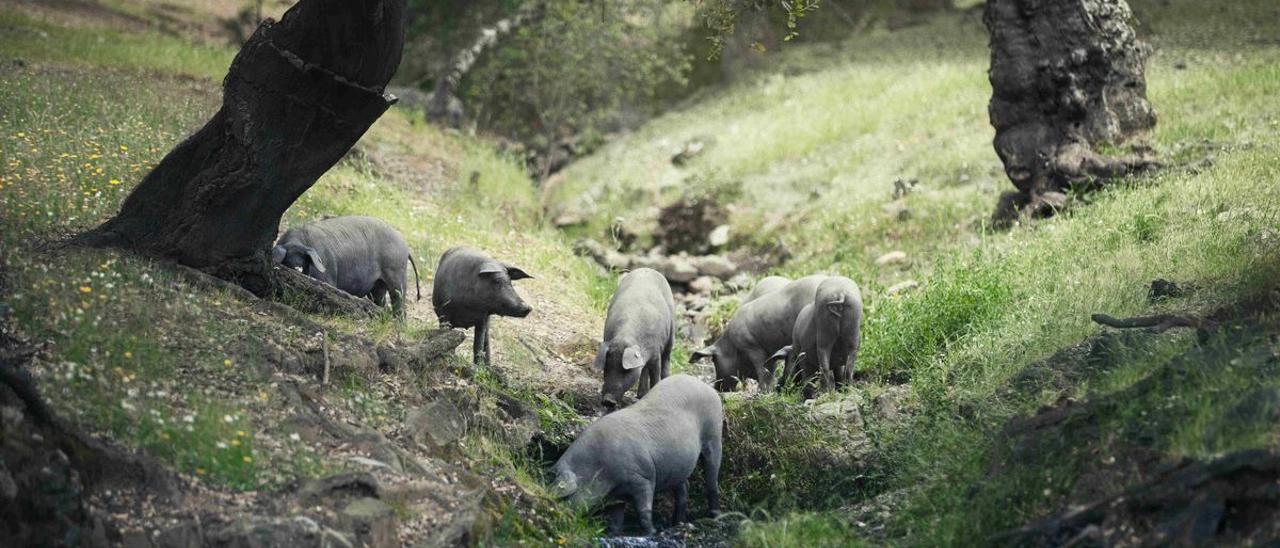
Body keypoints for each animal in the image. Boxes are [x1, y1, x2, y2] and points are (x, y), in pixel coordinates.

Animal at [273, 215, 422, 316]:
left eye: (303, 264)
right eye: (287, 262)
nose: (297, 269)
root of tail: (405, 246)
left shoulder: (328, 278)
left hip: (397, 271)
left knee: (399, 301)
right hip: (378, 285)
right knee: (381, 301)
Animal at [555, 371, 727, 535]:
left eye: (566, 496)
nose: (560, 518)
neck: (598, 467)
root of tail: (707, 387)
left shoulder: (643, 478)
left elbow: (644, 510)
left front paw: (652, 532)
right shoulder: (617, 495)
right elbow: (615, 517)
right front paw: (614, 533)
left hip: (714, 434)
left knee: (712, 478)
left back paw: (716, 516)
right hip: (680, 465)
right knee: (684, 486)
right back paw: (677, 523)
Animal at [591, 267, 675, 409]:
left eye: (626, 371)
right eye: (607, 366)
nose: (608, 400)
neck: (626, 337)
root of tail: (648, 269)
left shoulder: (655, 354)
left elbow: (655, 375)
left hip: (672, 333)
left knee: (666, 361)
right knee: (644, 370)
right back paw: (640, 395)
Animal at [691, 276, 829, 391]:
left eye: (714, 360)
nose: (716, 388)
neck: (732, 346)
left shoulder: (751, 346)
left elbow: (762, 370)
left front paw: (764, 391)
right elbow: (770, 369)